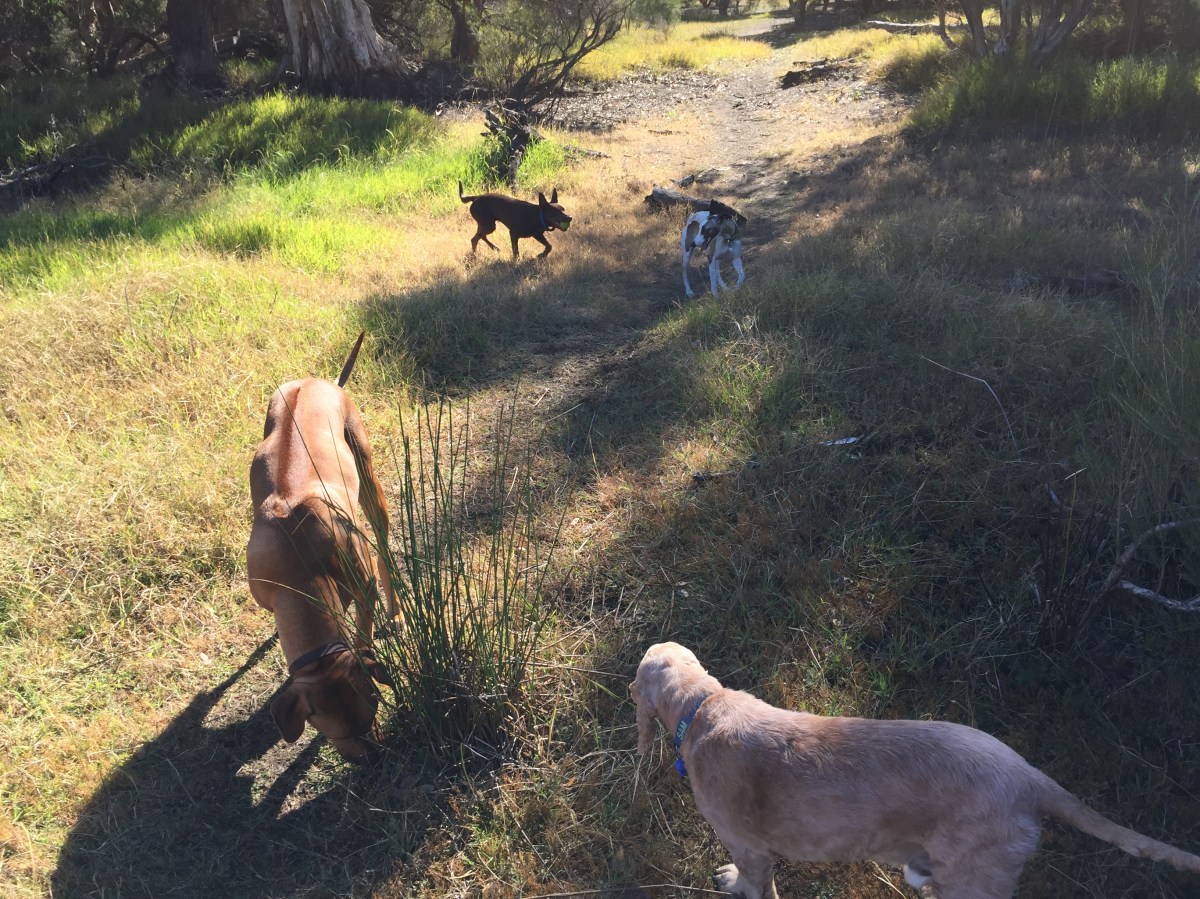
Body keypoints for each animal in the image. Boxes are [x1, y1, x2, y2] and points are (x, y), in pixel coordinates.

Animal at [246, 332, 397, 765]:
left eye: (373, 713)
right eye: (338, 734)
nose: (377, 758)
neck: (295, 564)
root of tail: (321, 381)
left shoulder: (362, 586)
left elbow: (362, 634)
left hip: (365, 470)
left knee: (383, 543)